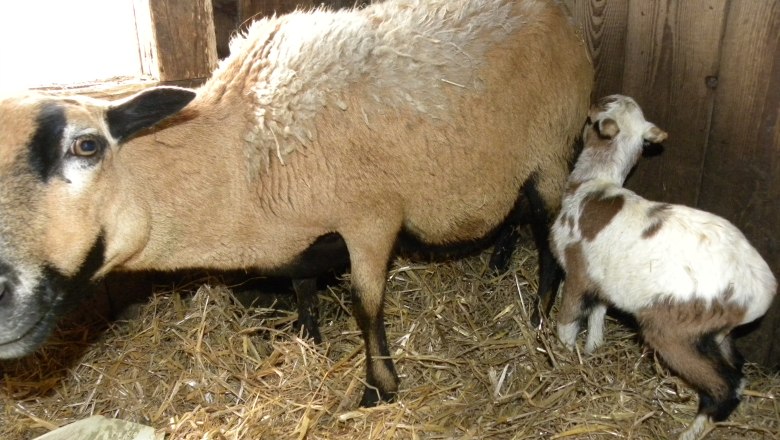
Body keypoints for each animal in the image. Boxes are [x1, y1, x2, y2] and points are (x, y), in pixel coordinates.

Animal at [0, 0, 592, 408]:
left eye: (86, 145)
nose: (3, 296)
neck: (239, 154)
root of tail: (561, 13)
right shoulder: (304, 233)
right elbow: (303, 283)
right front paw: (308, 338)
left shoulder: (370, 217)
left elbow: (366, 304)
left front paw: (379, 388)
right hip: (509, 163)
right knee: (513, 211)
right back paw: (498, 260)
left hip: (550, 147)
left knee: (547, 236)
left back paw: (538, 315)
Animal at [552, 94, 776, 438]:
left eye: (591, 117)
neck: (594, 183)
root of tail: (762, 291)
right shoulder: (602, 280)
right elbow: (598, 317)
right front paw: (591, 351)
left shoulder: (577, 272)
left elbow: (568, 321)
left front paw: (562, 359)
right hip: (714, 332)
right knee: (737, 373)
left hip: (673, 328)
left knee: (723, 386)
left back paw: (688, 432)